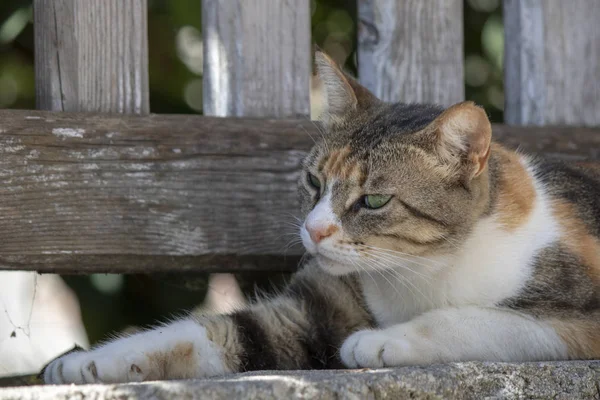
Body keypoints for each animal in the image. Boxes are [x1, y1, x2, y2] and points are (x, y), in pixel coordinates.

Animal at [43, 51, 600, 382]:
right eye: (314, 182)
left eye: (373, 201)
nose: (313, 230)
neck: (420, 271)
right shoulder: (309, 313)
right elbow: (207, 333)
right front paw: (85, 362)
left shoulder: (579, 323)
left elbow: (483, 318)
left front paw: (381, 341)